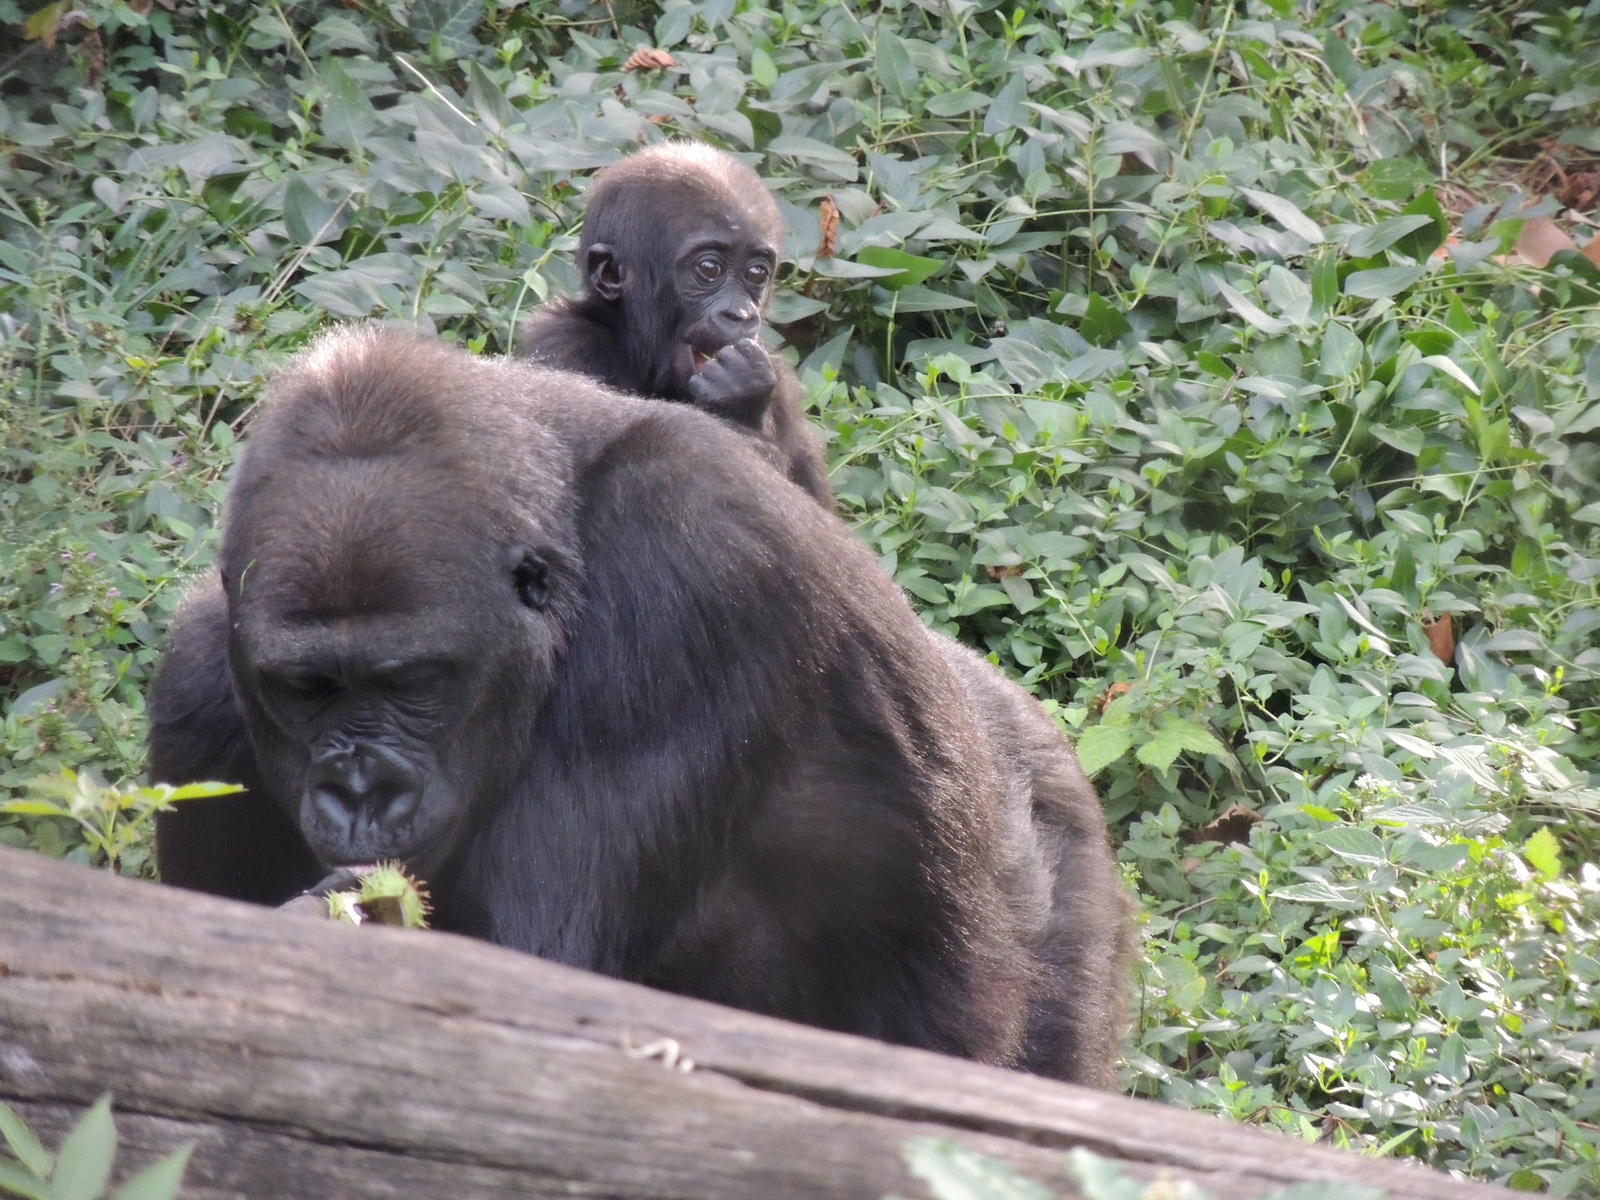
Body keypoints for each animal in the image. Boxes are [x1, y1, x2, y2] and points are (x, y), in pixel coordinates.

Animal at [147, 324, 1126, 1088]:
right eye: (305, 689)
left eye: (412, 681)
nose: (360, 793)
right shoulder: (199, 683)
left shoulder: (692, 562)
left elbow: (532, 987)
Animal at [518, 142, 832, 508]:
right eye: (709, 269)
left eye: (757, 273)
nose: (740, 315)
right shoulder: (565, 342)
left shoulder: (783, 386)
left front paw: (743, 393)